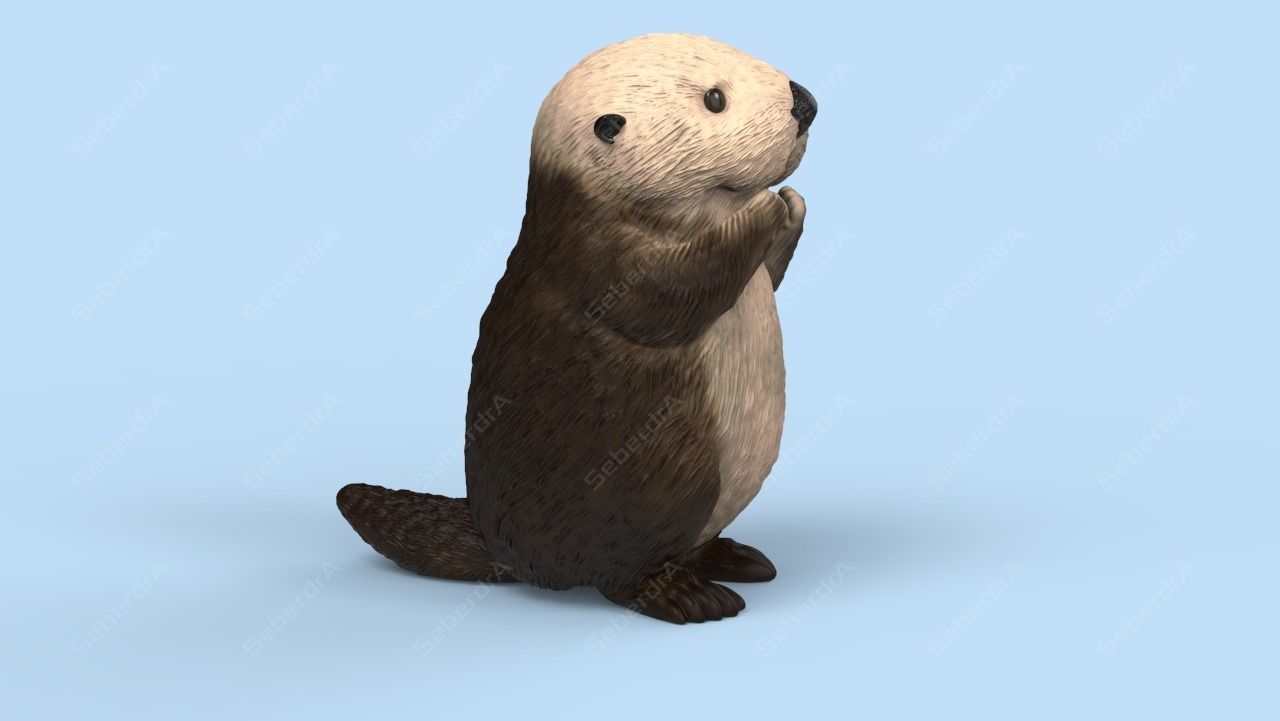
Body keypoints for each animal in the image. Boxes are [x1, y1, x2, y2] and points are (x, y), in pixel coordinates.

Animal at [338, 33, 817, 624]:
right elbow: (666, 294)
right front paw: (763, 209)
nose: (804, 102)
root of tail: (503, 550)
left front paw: (792, 206)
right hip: (663, 476)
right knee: (619, 577)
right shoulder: (593, 252)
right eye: (714, 99)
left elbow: (765, 275)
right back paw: (689, 594)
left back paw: (737, 556)